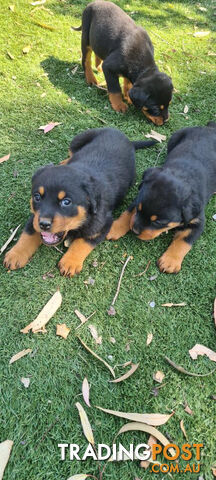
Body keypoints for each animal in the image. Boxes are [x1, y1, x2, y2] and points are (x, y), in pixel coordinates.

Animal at [3, 127, 155, 278]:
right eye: (37, 197)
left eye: (66, 202)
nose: (44, 224)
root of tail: (123, 136)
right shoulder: (35, 216)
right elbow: (28, 234)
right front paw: (15, 254)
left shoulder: (102, 224)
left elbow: (83, 241)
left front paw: (70, 262)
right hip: (79, 139)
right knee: (71, 152)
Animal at [106, 122, 216, 274]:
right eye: (139, 210)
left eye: (158, 222)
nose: (135, 231)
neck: (182, 175)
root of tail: (211, 127)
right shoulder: (138, 199)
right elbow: (127, 213)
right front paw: (114, 228)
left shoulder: (197, 220)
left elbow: (184, 240)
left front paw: (170, 261)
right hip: (175, 137)